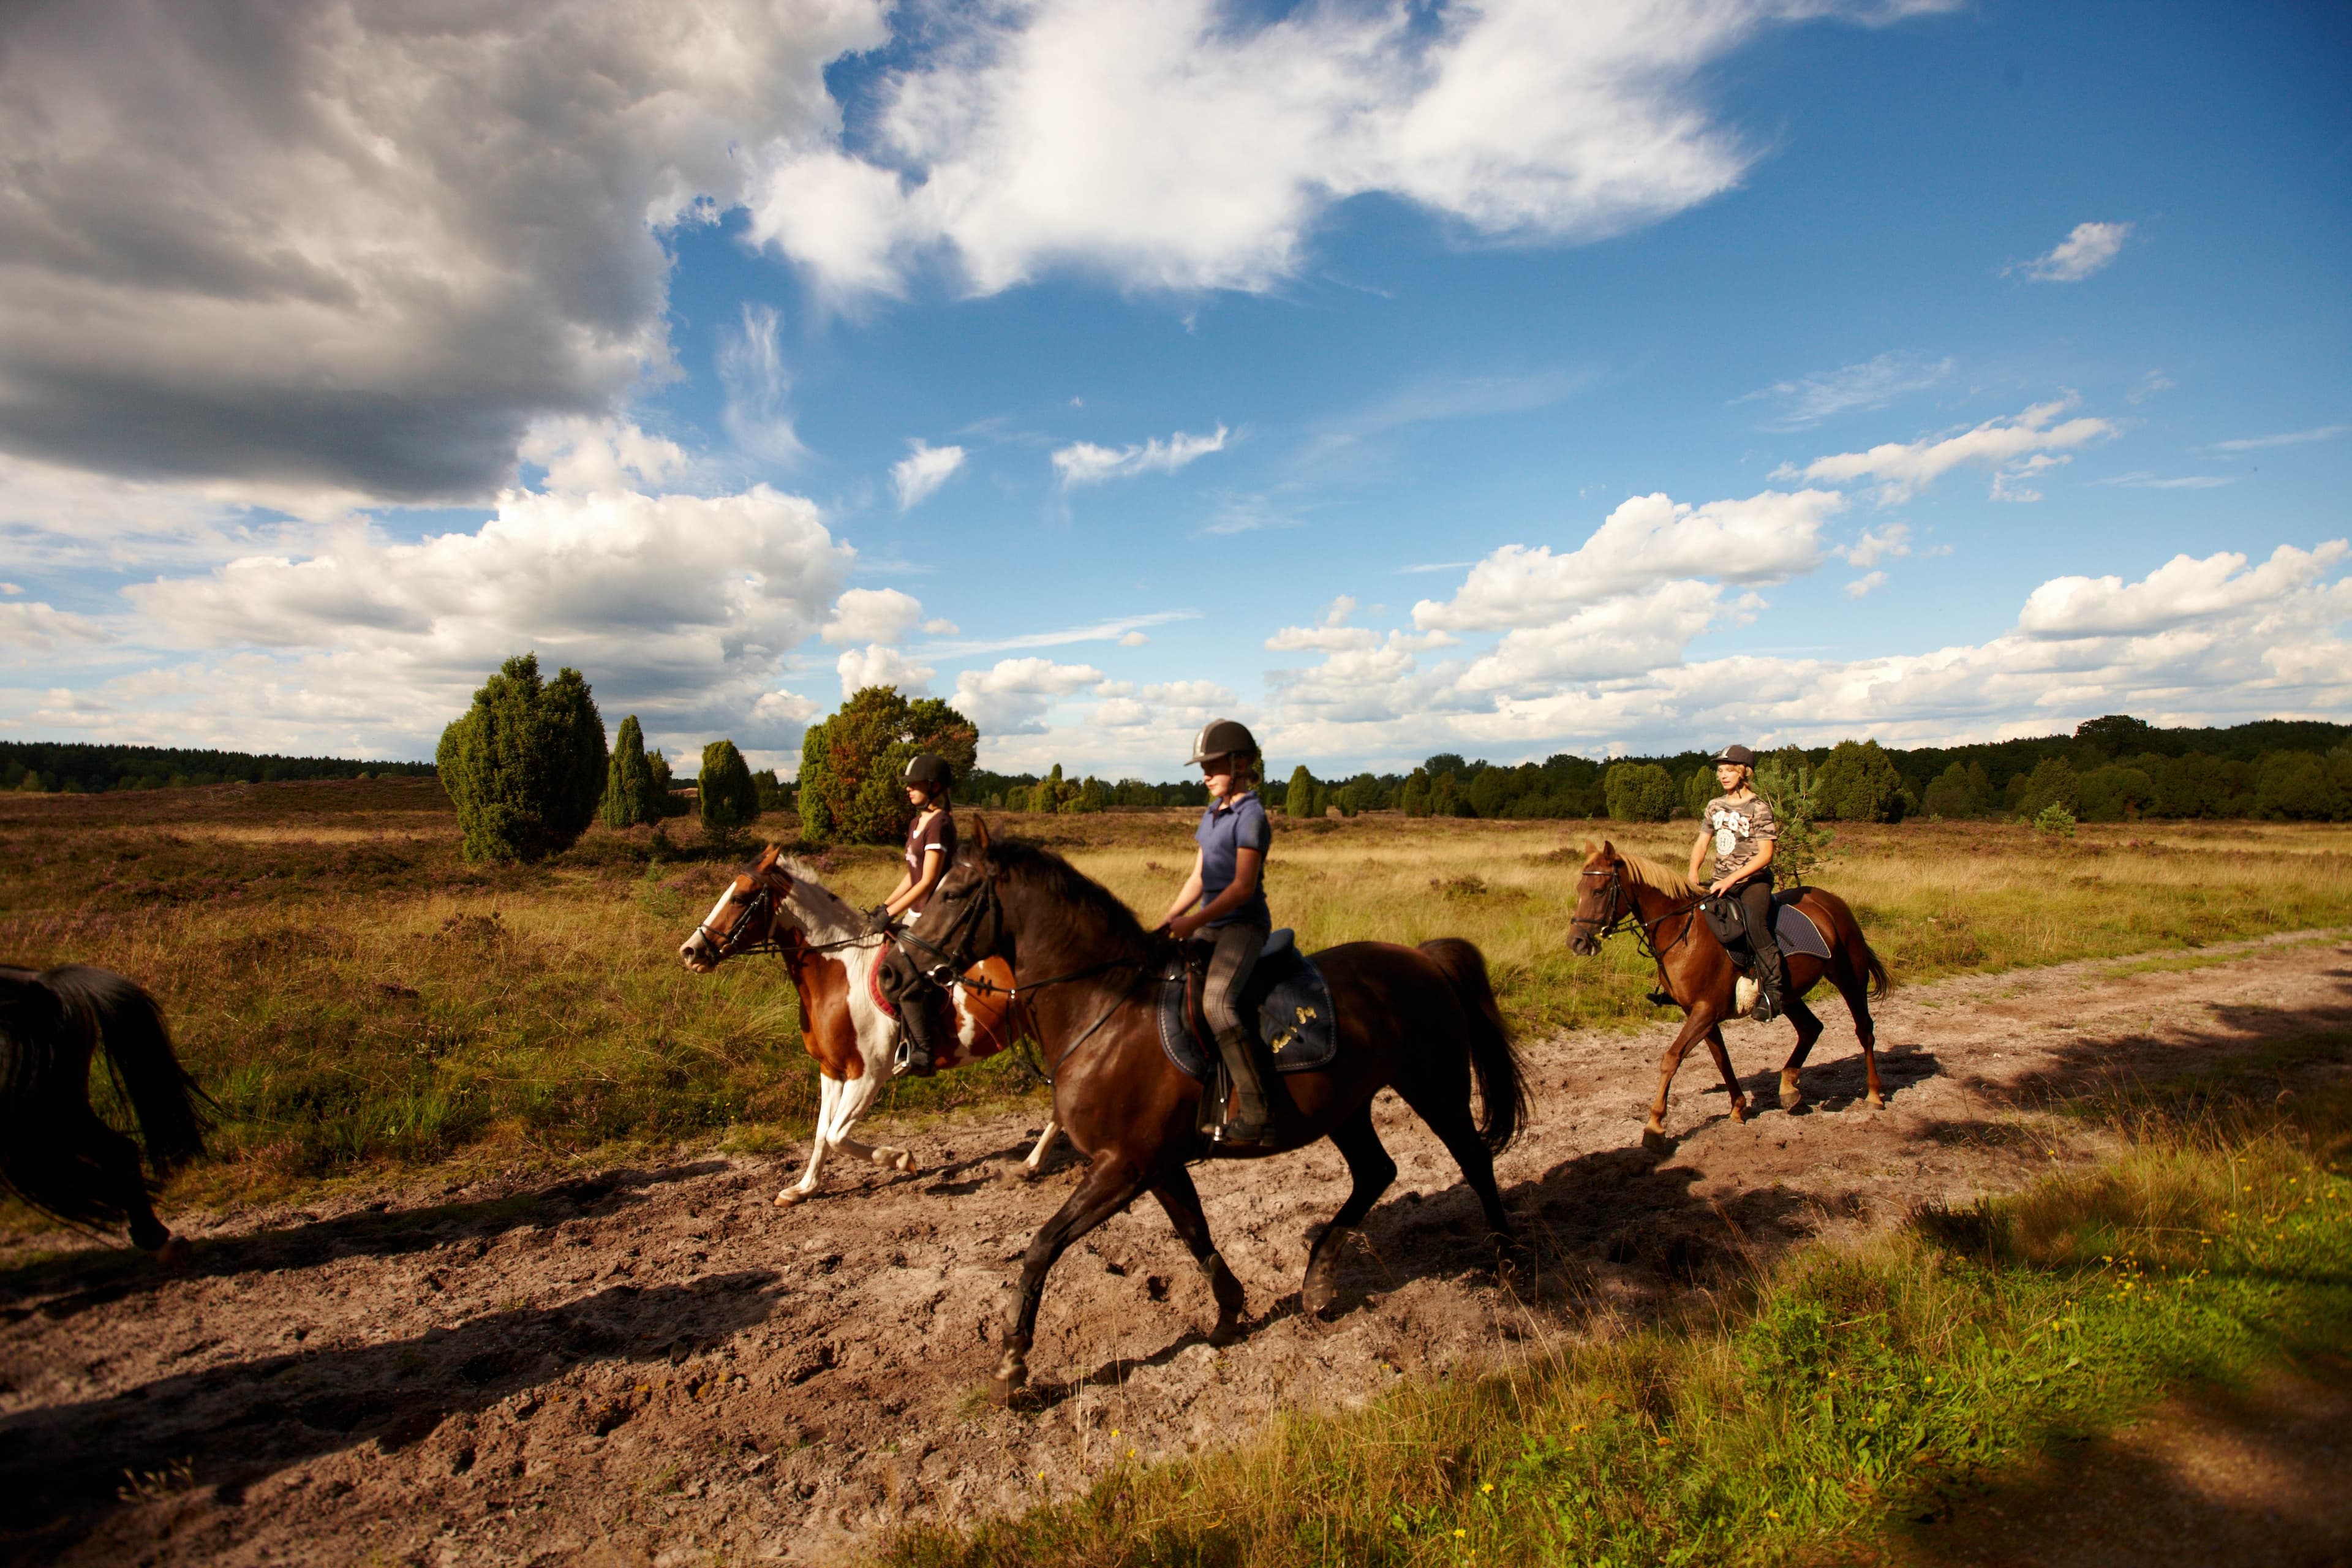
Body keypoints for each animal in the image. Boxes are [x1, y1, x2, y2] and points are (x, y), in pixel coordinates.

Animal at [673, 851, 1058, 1213]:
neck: (839, 971)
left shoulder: (869, 1073)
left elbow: (836, 1135)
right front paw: (803, 1189)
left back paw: (1031, 1164)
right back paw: (1032, 1163)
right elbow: (821, 1134)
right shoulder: (831, 1069)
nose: (690, 951)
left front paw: (902, 1159)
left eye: (740, 898)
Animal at [898, 823, 1524, 1410]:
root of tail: (1422, 957)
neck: (1107, 1010)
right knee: (1377, 1172)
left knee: (1473, 1161)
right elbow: (1195, 1234)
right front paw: (1228, 1315)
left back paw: (1507, 1267)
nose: (894, 975)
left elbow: (1042, 1246)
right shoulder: (1156, 1166)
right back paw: (1319, 1283)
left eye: (951, 892)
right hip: (1346, 1107)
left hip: (1434, 1088)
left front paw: (1012, 1365)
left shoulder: (1122, 1167)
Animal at [1571, 842, 1882, 1147]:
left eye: (1599, 891)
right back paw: (1789, 1089)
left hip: (1850, 977)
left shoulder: (1706, 1010)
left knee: (1864, 1029)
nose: (1576, 942)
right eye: (1579, 889)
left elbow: (1672, 1058)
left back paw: (1874, 1095)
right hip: (1788, 996)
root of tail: (1831, 901)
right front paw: (1738, 1107)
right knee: (1811, 1029)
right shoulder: (1701, 1012)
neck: (1685, 933)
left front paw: (1655, 1126)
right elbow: (1722, 1059)